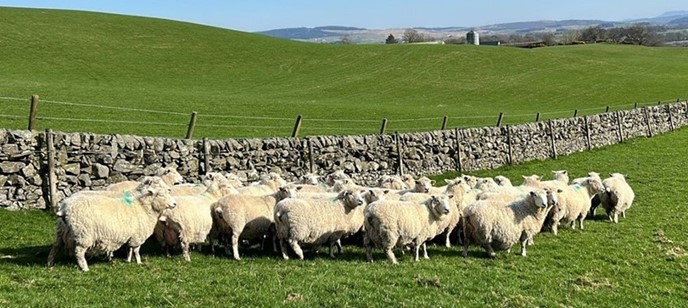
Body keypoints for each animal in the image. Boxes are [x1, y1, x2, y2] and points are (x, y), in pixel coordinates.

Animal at [45, 177, 175, 270]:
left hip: (62, 232)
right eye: (161, 194)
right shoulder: (137, 235)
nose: (174, 204)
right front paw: (138, 262)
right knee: (79, 252)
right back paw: (84, 268)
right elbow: (136, 250)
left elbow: (130, 249)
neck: (143, 205)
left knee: (55, 246)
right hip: (84, 234)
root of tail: (64, 207)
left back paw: (49, 263)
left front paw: (128, 260)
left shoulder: (131, 235)